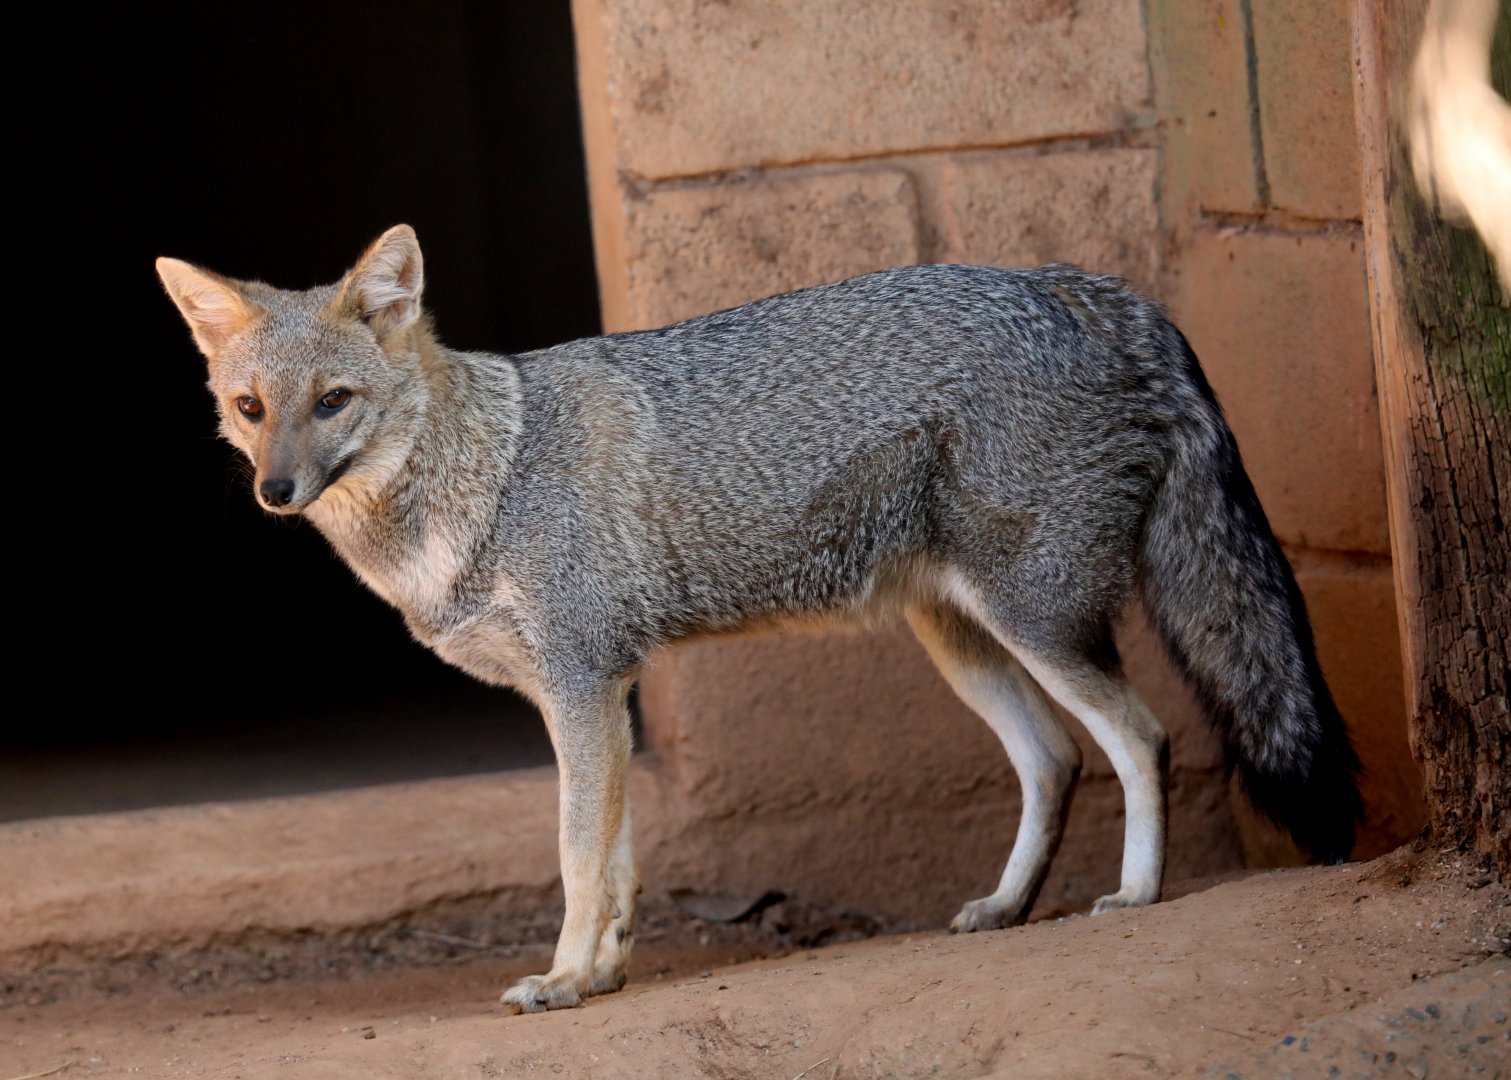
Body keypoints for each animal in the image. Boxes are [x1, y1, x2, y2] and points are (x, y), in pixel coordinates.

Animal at [156, 225, 1361, 1013]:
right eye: (251, 410)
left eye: (334, 404)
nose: (275, 491)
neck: (489, 475)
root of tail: (1084, 286)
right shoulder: (596, 696)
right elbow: (616, 860)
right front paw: (602, 975)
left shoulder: (584, 686)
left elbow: (576, 856)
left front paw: (562, 979)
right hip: (963, 639)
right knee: (1054, 759)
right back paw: (1007, 907)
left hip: (1036, 624)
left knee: (1140, 738)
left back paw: (1136, 894)